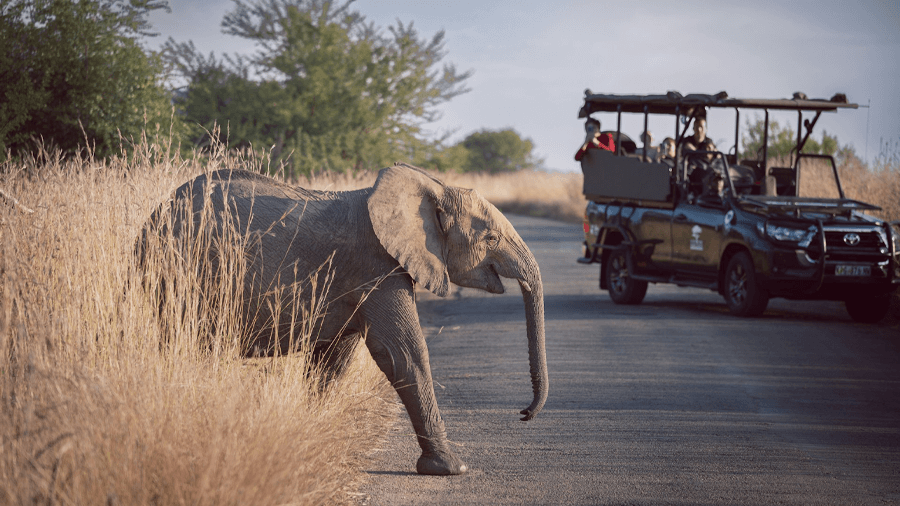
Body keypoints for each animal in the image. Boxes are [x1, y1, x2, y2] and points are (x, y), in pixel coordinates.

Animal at [137, 162, 548, 475]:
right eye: (491, 238)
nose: (523, 414)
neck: (430, 186)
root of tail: (153, 216)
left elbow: (333, 358)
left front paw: (309, 436)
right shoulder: (377, 265)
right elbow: (402, 352)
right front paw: (450, 469)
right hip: (178, 273)